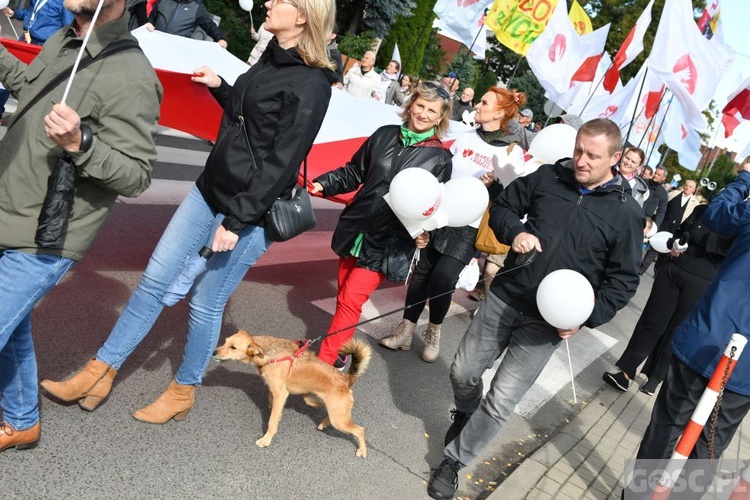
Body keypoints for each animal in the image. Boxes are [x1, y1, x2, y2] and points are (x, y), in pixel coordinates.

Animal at [213, 330, 372, 458]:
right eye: (225, 341)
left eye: (233, 347)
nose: (214, 352)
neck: (269, 353)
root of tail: (346, 379)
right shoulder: (276, 392)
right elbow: (272, 405)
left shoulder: (281, 393)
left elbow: (272, 421)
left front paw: (266, 440)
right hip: (316, 402)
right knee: (326, 409)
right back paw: (324, 423)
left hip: (339, 419)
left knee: (360, 430)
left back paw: (362, 451)